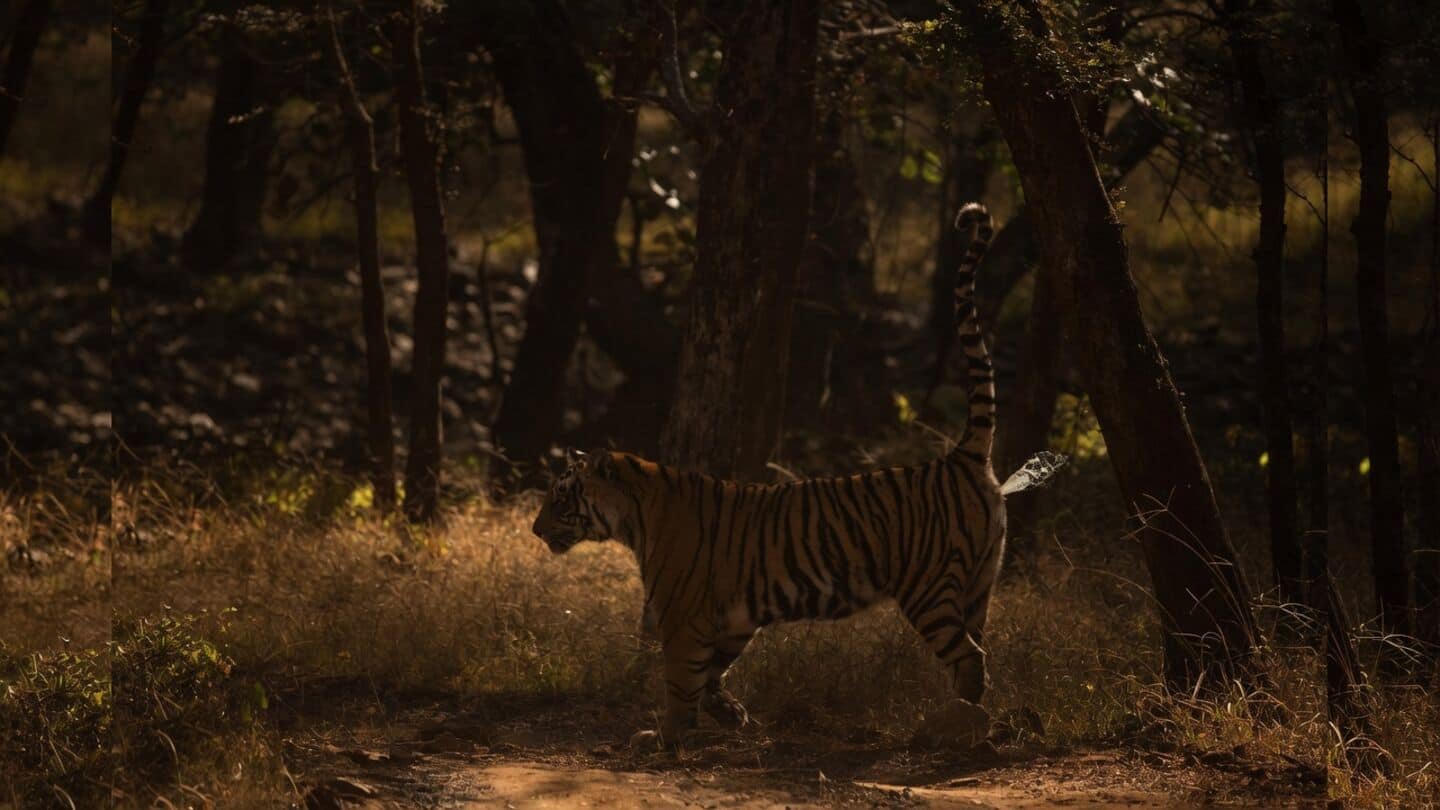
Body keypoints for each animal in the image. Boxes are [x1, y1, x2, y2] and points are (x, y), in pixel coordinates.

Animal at [531, 203, 1005, 748]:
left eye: (561, 497)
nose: (535, 530)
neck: (635, 517)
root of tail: (959, 457)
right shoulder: (733, 618)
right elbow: (710, 676)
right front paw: (729, 714)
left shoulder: (682, 614)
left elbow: (679, 680)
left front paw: (665, 737)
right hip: (979, 584)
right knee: (978, 651)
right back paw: (970, 719)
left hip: (928, 586)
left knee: (969, 657)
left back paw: (955, 723)